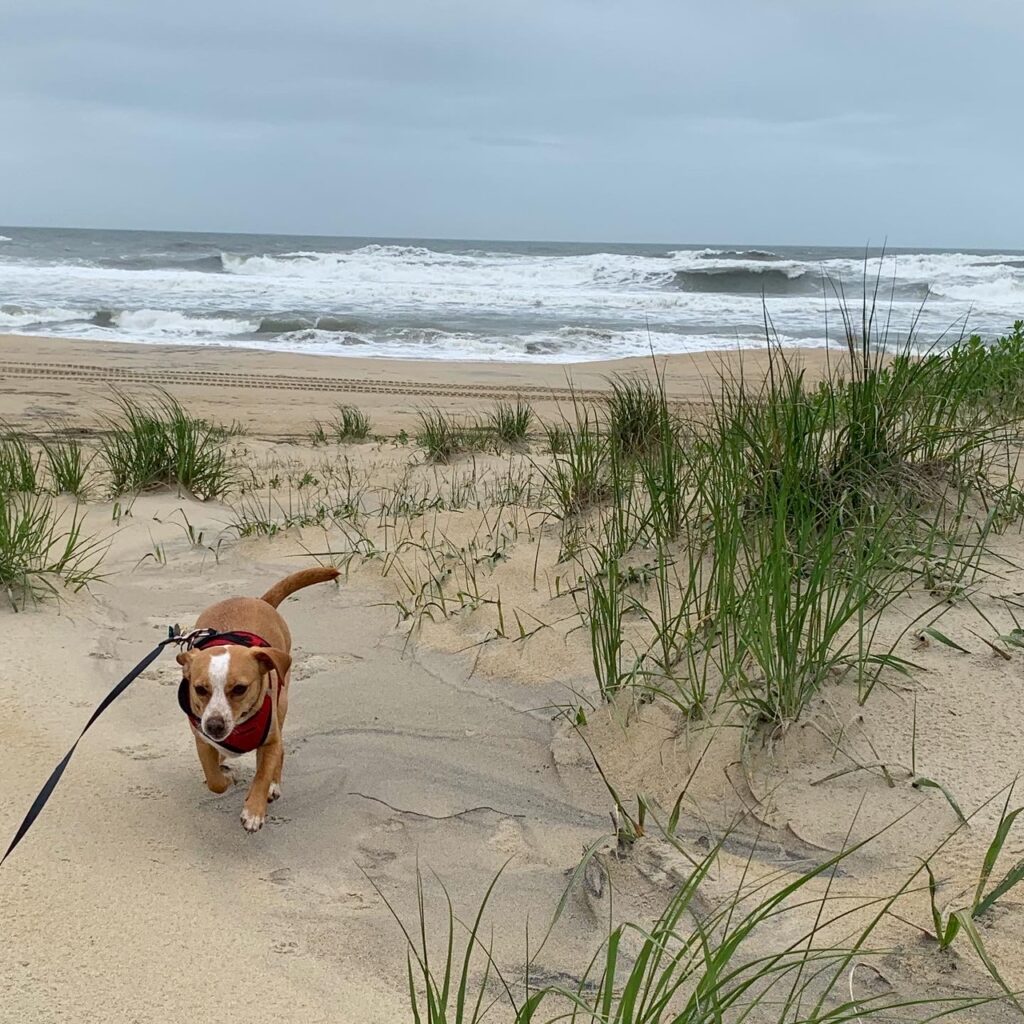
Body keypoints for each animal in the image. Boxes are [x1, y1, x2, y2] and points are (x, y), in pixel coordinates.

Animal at [174, 569, 337, 831]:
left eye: (240, 688)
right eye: (199, 689)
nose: (215, 725)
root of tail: (259, 600)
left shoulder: (269, 741)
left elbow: (262, 774)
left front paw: (253, 811)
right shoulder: (202, 740)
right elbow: (214, 779)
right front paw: (226, 775)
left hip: (281, 706)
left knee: (280, 753)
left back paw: (273, 786)